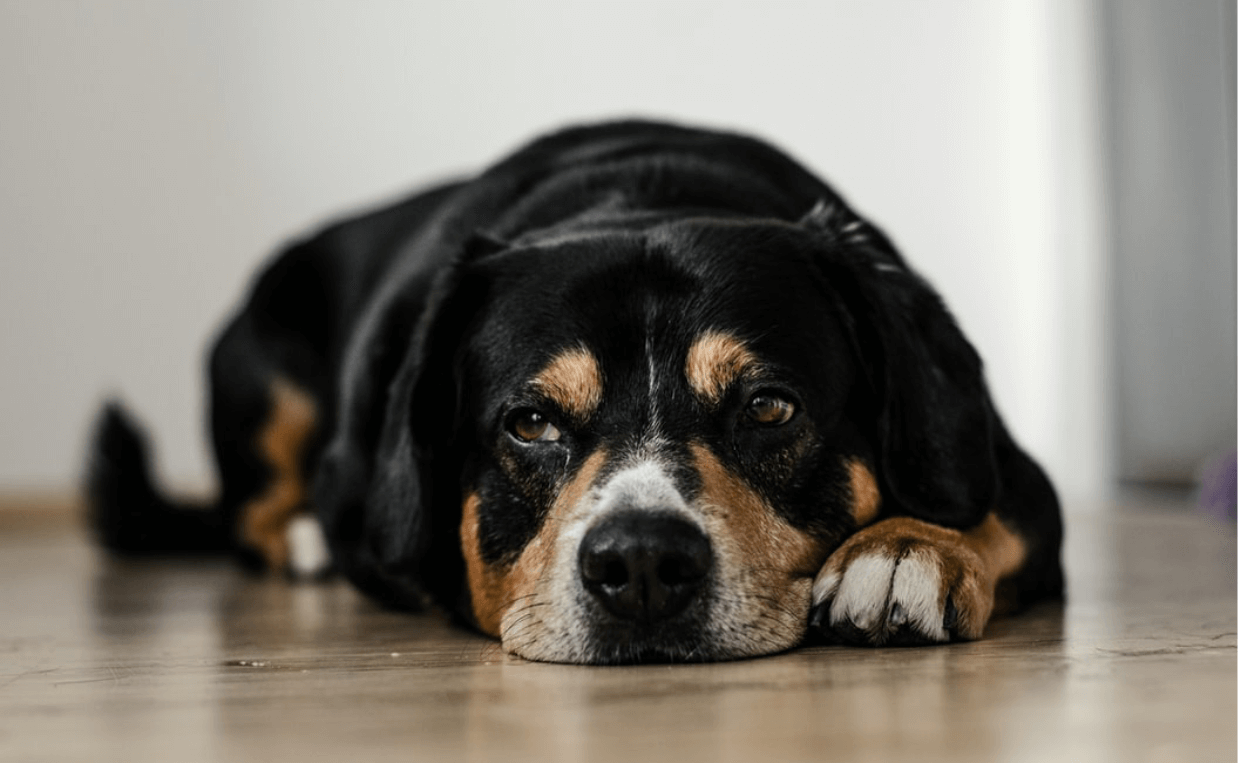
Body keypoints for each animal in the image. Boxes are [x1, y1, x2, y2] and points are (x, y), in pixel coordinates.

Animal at [89, 118, 1064, 663]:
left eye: (768, 407)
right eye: (530, 422)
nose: (641, 564)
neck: (641, 196)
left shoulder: (1015, 472)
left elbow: (992, 511)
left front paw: (903, 548)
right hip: (263, 374)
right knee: (249, 511)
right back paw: (303, 540)